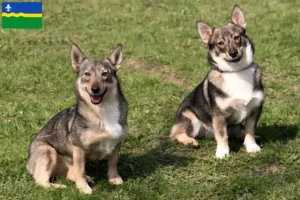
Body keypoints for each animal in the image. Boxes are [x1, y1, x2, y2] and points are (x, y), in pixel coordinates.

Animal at [26, 42, 127, 194]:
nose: (95, 89)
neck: (103, 110)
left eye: (105, 73)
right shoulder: (79, 148)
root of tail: (29, 163)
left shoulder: (116, 142)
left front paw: (114, 178)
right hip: (49, 151)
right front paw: (83, 187)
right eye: (87, 74)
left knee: (68, 175)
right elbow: (80, 170)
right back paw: (59, 186)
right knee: (41, 181)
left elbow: (113, 162)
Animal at [170, 5, 264, 158]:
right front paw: (223, 153)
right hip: (190, 116)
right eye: (220, 43)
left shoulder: (255, 109)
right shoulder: (219, 115)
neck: (236, 71)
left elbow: (250, 130)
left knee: (238, 131)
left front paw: (251, 146)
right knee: (176, 133)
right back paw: (189, 141)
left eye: (237, 37)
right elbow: (222, 135)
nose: (233, 53)